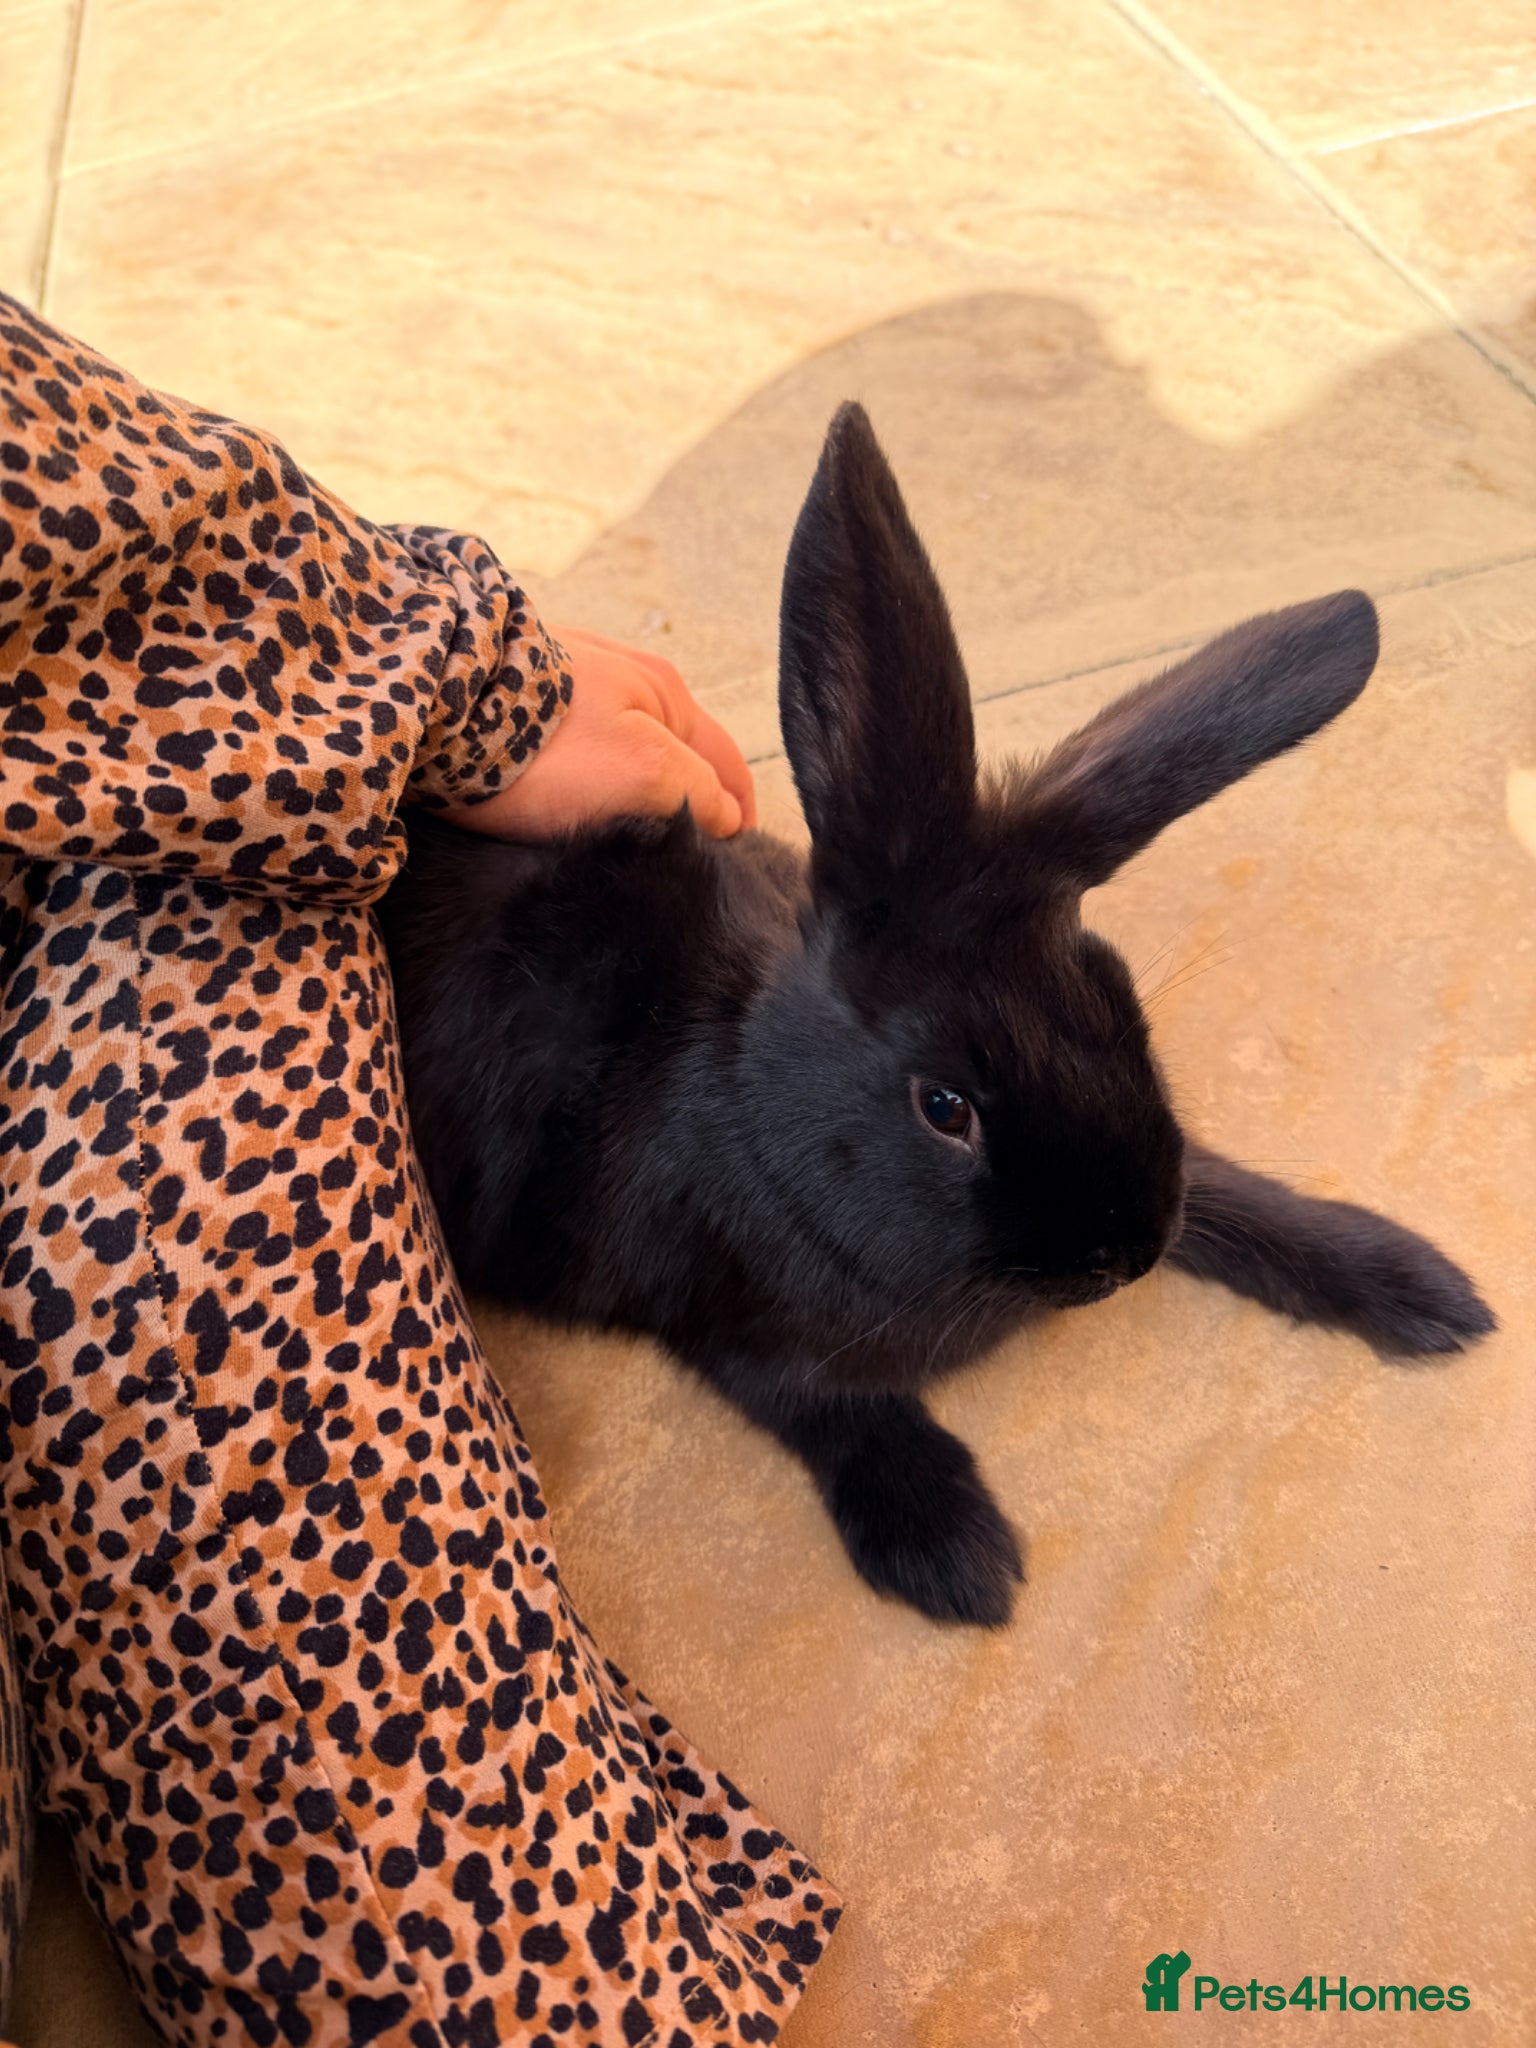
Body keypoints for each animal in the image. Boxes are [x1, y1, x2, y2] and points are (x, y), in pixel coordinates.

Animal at [377, 401, 1494, 1628]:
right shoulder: (733, 1326)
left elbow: (1232, 1196)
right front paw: (956, 1553)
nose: (1123, 1260)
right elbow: (833, 1408)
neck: (750, 1105)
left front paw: (1417, 1284)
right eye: (945, 1106)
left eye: (1119, 1002)